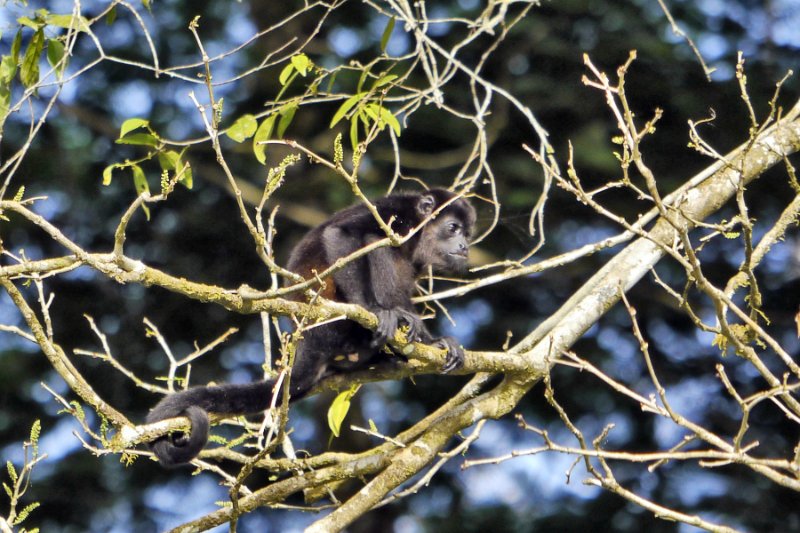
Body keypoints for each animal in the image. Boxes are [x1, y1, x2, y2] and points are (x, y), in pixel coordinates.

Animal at [146, 187, 476, 466]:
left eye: (468, 233)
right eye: (452, 228)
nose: (464, 247)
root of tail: (307, 338)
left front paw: (434, 341)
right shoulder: (396, 212)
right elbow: (341, 235)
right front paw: (375, 310)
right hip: (333, 329)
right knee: (374, 244)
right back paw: (390, 321)